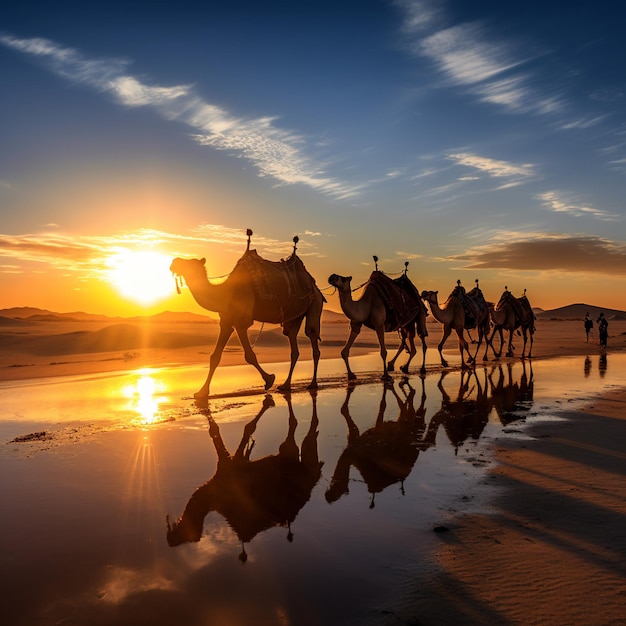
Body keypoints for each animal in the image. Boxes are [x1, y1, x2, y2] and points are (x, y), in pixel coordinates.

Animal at [171, 232, 326, 398]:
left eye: (190, 263)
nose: (173, 262)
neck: (225, 292)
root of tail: (315, 286)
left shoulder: (241, 322)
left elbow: (249, 355)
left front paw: (269, 380)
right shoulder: (226, 321)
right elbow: (215, 356)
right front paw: (201, 392)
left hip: (315, 303)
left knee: (312, 337)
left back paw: (312, 384)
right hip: (294, 317)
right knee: (293, 343)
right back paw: (285, 385)